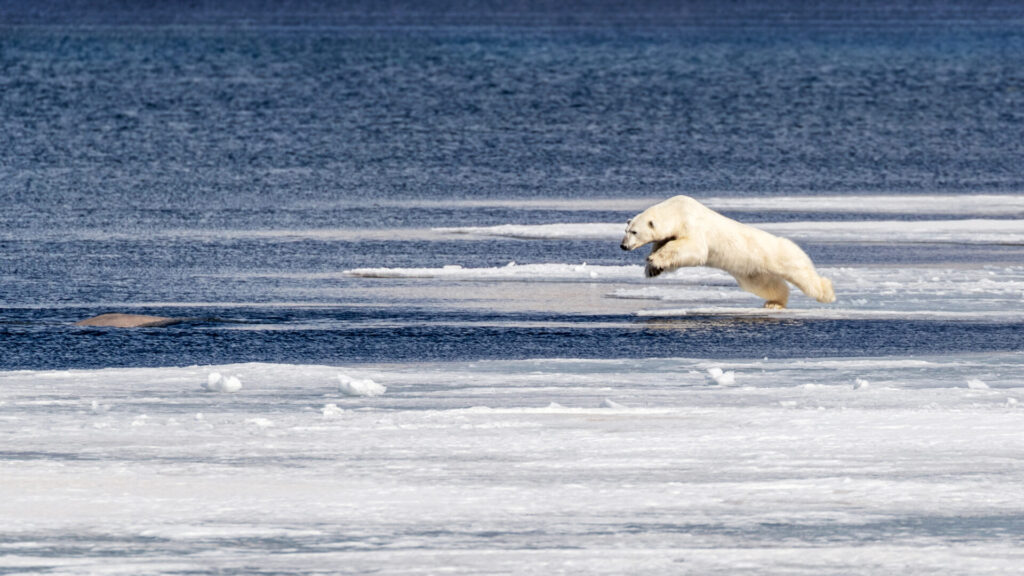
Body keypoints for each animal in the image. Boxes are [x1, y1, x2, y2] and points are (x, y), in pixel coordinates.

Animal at [620, 195, 835, 309]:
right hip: (751, 270)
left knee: (801, 272)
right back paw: (774, 303)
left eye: (634, 232)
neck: (677, 211)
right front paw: (652, 268)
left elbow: (693, 248)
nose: (623, 246)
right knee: (767, 285)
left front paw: (655, 259)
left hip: (778, 253)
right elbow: (663, 244)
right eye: (626, 230)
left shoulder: (692, 225)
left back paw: (827, 293)